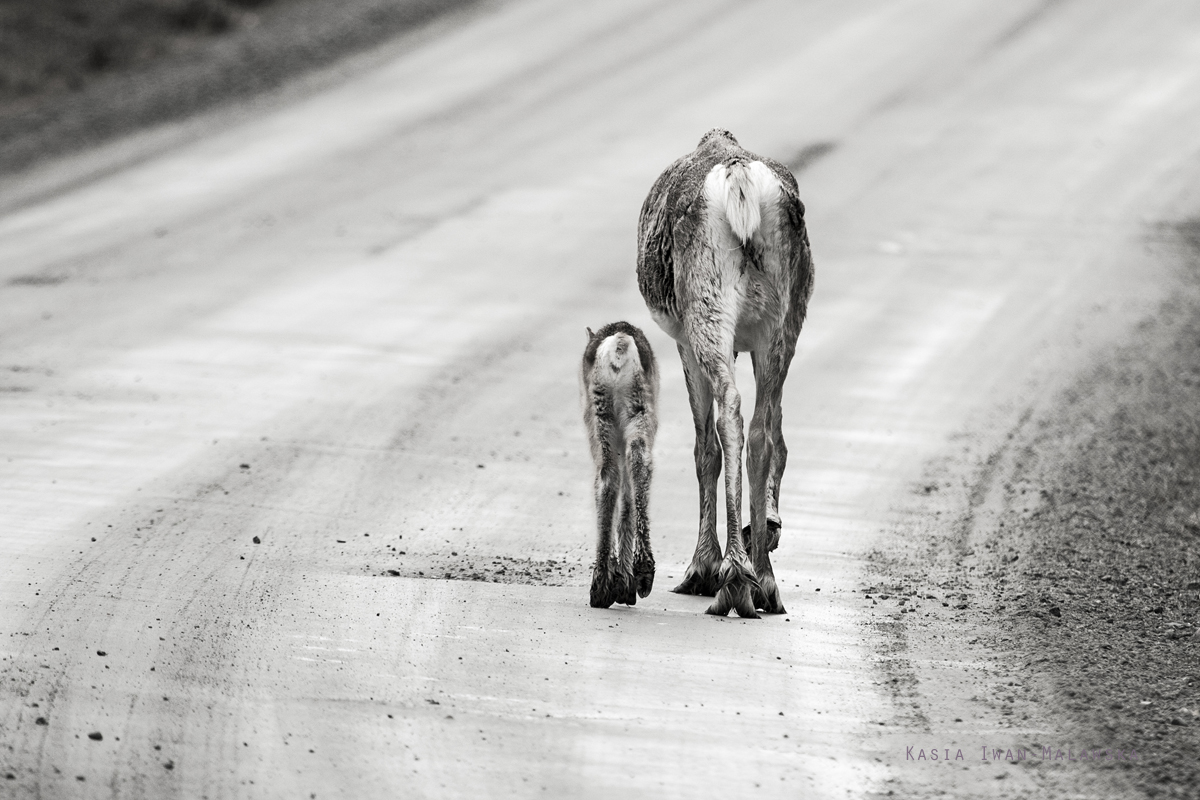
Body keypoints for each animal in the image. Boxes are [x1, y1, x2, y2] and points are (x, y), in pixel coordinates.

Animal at [578, 319, 662, 606]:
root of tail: (620, 344)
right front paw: (623, 579)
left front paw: (619, 579)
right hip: (635, 411)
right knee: (636, 468)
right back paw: (640, 572)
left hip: (601, 413)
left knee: (609, 478)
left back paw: (605, 583)